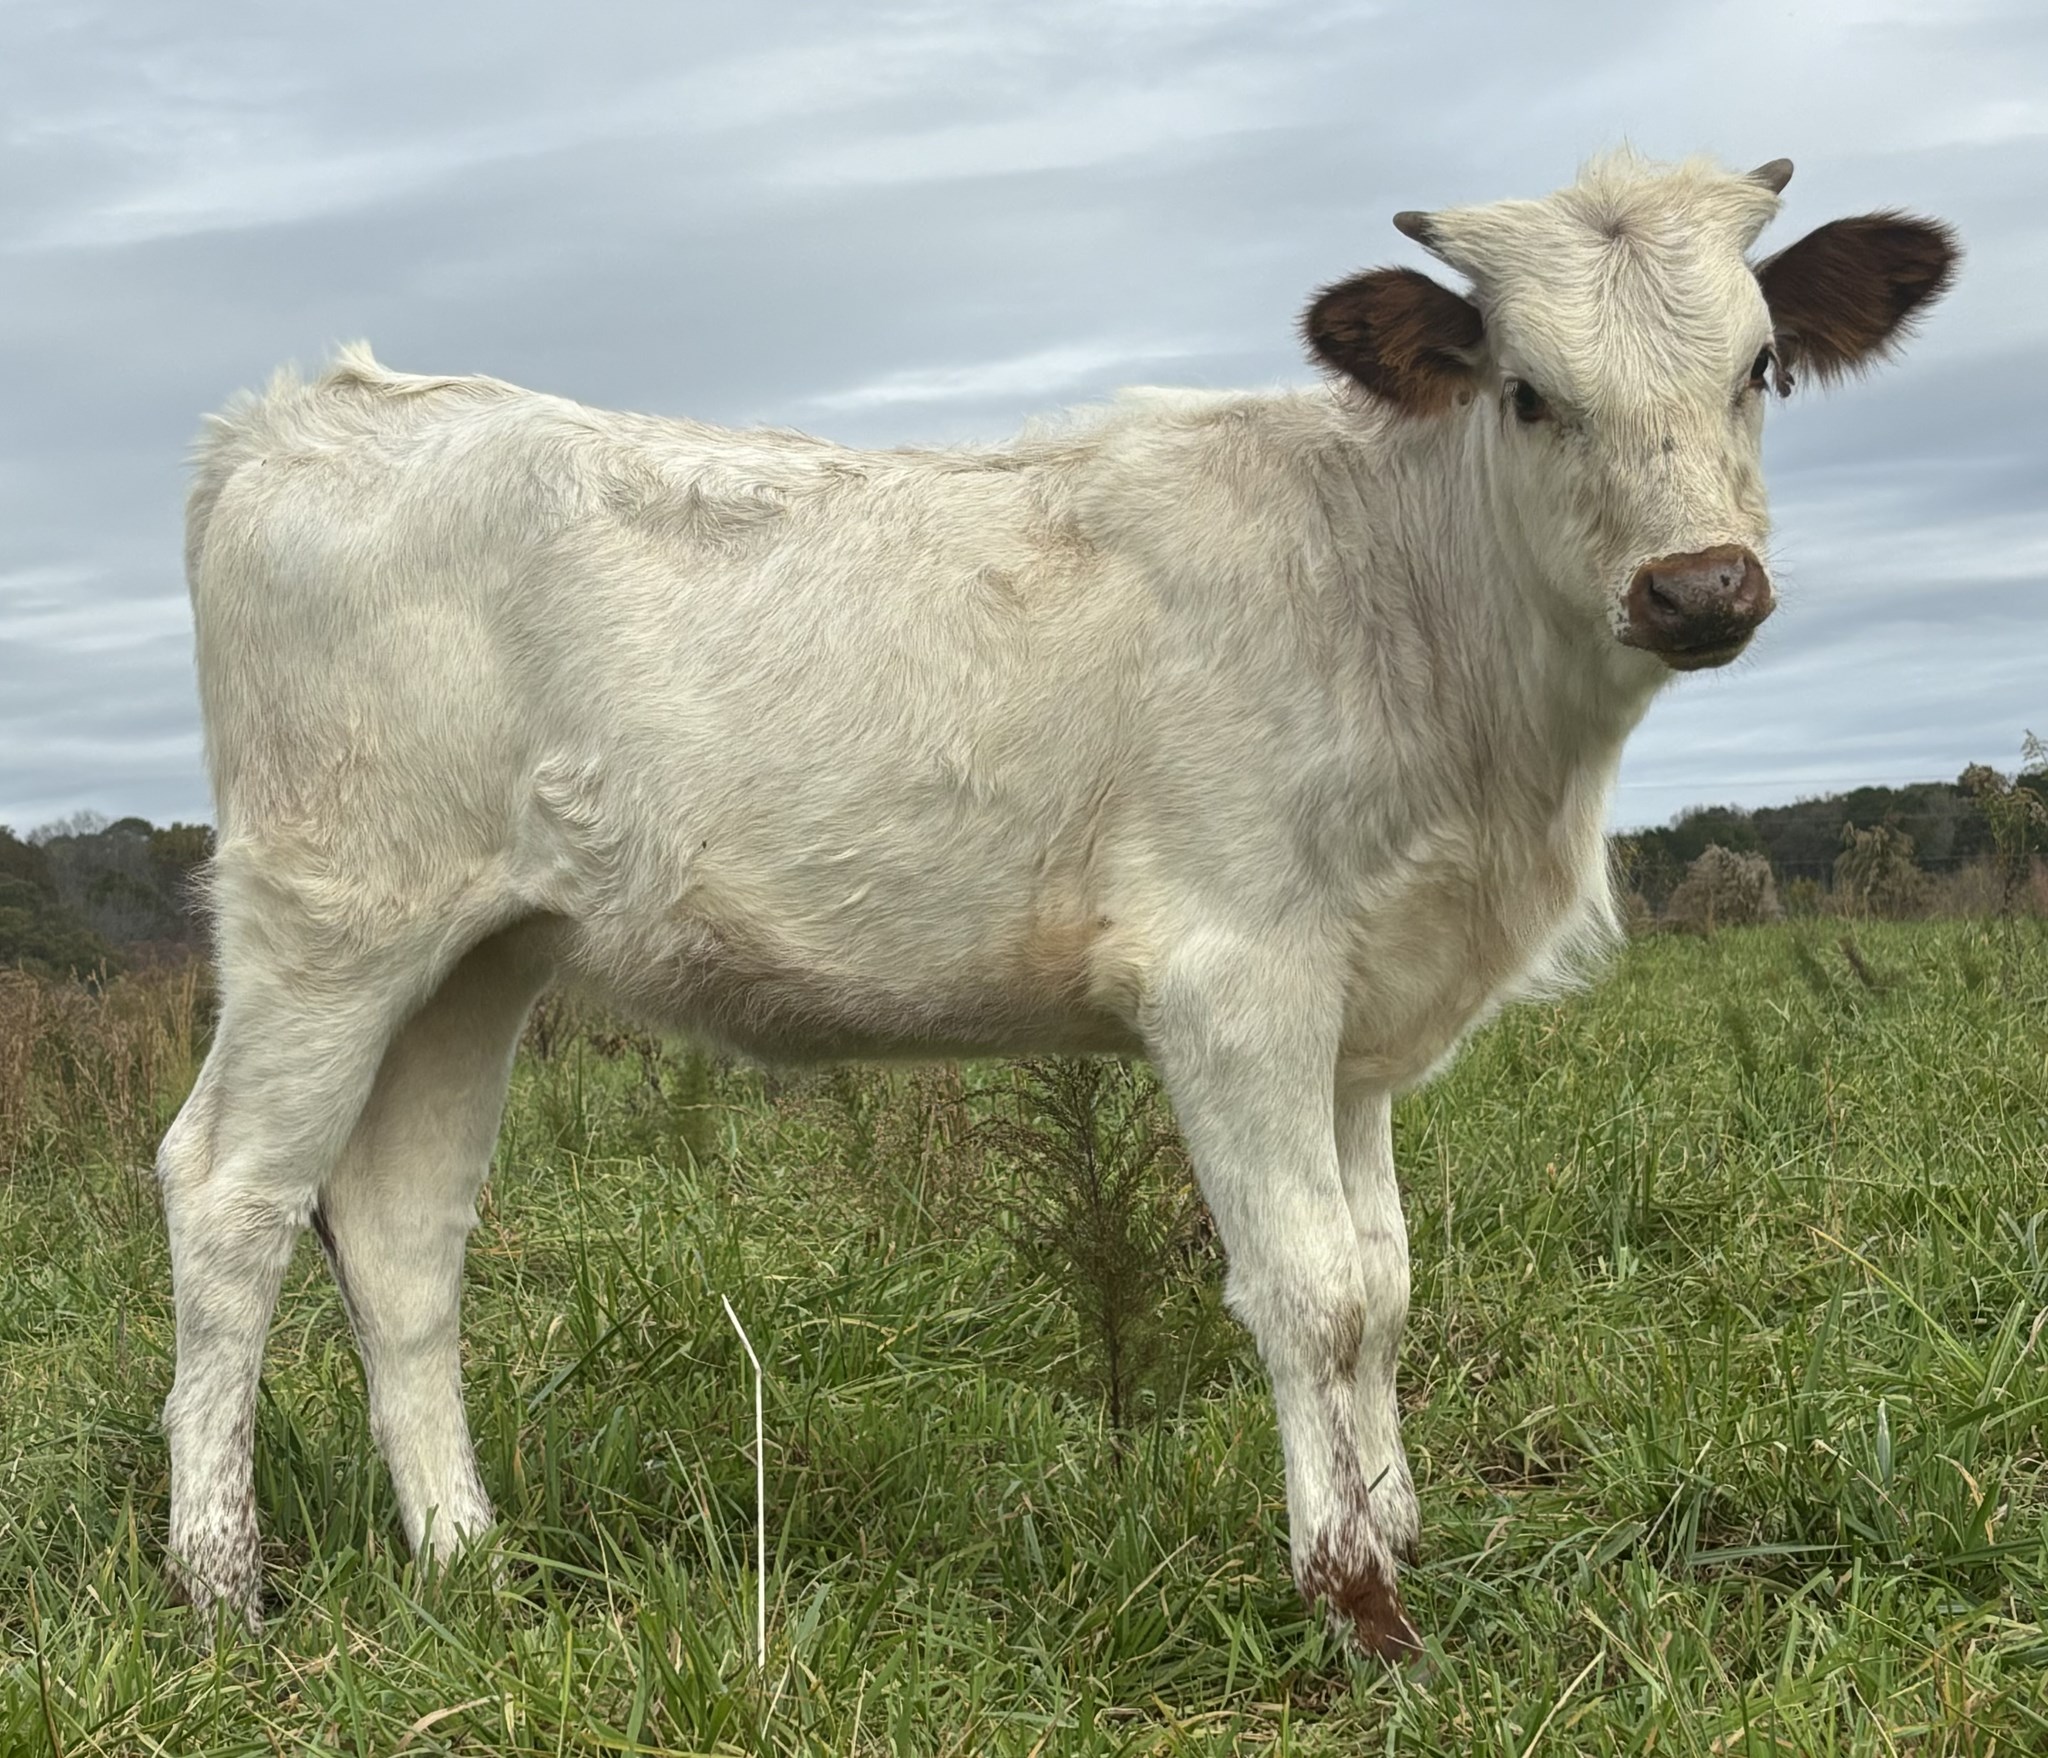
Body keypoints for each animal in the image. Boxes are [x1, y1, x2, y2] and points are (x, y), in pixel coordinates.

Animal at [157, 152, 1955, 1655]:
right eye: (1528, 393)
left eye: (1758, 369)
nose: (1699, 587)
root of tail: (310, 413)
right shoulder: (1233, 979)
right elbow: (1306, 1290)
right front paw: (1354, 1600)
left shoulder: (1361, 1011)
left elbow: (1380, 1286)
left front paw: (1398, 1532)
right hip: (333, 914)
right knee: (231, 1194)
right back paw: (220, 1585)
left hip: (484, 948)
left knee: (400, 1229)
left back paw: (469, 1560)